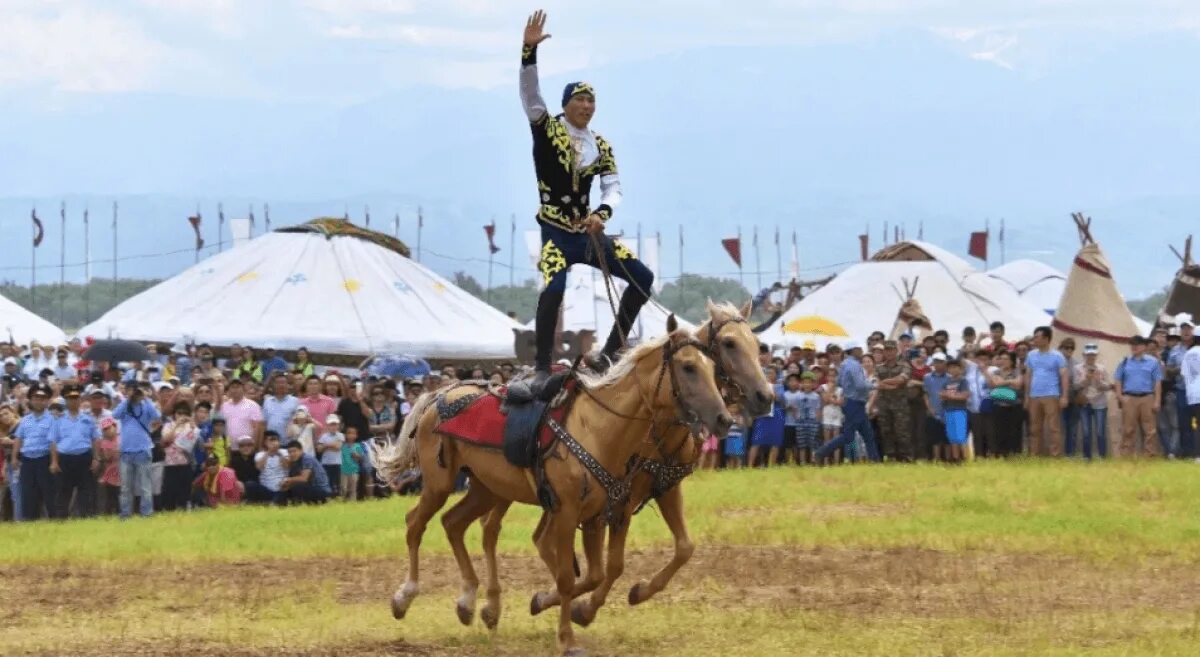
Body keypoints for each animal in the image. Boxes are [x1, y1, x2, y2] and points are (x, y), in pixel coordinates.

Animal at [374, 316, 729, 657]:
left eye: (713, 368)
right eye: (688, 367)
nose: (724, 419)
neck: (598, 428)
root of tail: (438, 396)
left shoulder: (601, 513)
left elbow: (598, 572)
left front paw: (556, 606)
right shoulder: (569, 512)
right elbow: (568, 576)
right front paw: (566, 637)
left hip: (486, 489)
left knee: (455, 524)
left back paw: (469, 603)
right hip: (440, 484)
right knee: (416, 524)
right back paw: (405, 597)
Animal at [472, 303, 772, 633]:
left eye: (757, 344)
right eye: (729, 343)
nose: (765, 397)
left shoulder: (665, 488)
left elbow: (684, 547)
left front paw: (634, 593)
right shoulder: (621, 500)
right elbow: (613, 564)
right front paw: (583, 609)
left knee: (539, 540)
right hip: (504, 488)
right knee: (491, 529)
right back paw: (492, 607)